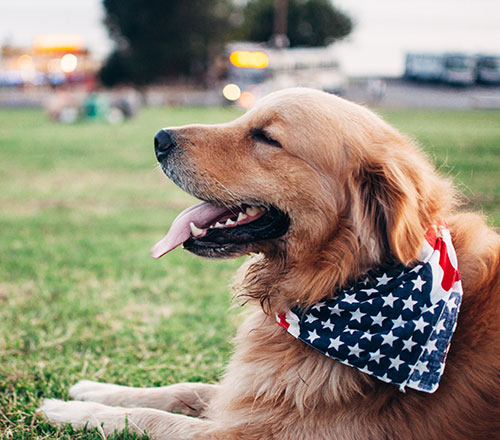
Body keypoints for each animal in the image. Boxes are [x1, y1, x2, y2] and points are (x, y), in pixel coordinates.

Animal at [40, 87, 500, 438]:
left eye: (266, 137)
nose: (159, 138)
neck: (338, 282)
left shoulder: (246, 432)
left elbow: (147, 418)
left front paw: (69, 411)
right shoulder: (251, 394)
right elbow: (180, 389)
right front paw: (93, 389)